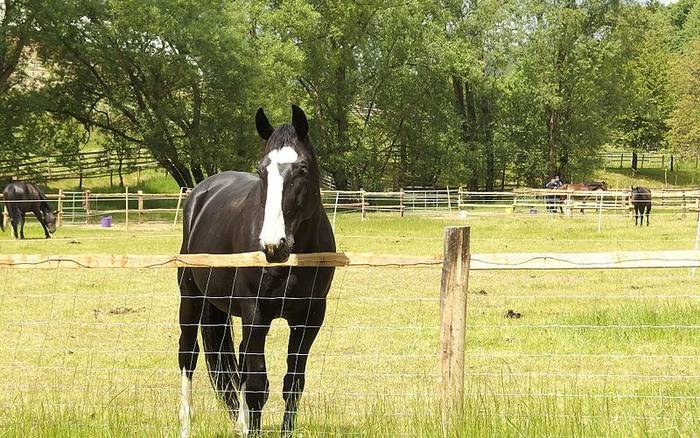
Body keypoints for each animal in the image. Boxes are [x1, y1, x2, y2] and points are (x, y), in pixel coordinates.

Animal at [178, 104, 336, 436]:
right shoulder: (256, 314)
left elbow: (293, 384)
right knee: (188, 355)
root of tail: (200, 194)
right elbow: (256, 386)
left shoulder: (309, 319)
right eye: (262, 169)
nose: (273, 244)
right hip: (191, 298)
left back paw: (240, 424)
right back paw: (186, 425)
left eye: (302, 169)